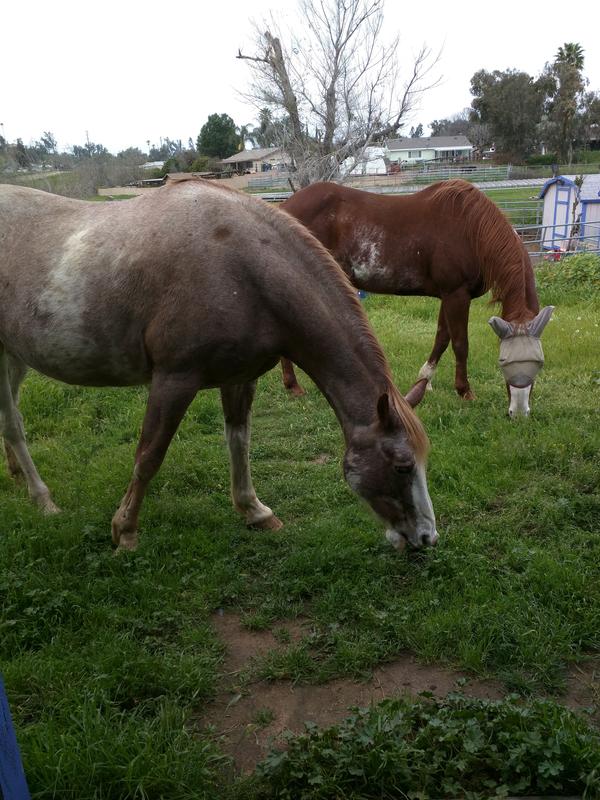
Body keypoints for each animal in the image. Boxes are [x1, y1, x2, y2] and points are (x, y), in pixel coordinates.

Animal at [0, 178, 437, 552]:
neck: (242, 268)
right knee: (14, 425)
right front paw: (125, 530)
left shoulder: (240, 377)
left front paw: (254, 511)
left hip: (15, 358)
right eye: (402, 466)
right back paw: (42, 499)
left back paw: (19, 478)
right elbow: (149, 456)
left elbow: (239, 442)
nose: (426, 538)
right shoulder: (174, 380)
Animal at [278, 180, 554, 417]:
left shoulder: (449, 295)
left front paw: (425, 380)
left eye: (539, 363)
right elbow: (460, 344)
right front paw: (465, 391)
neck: (472, 230)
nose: (519, 412)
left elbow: (442, 338)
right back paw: (293, 386)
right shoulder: (457, 294)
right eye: (504, 361)